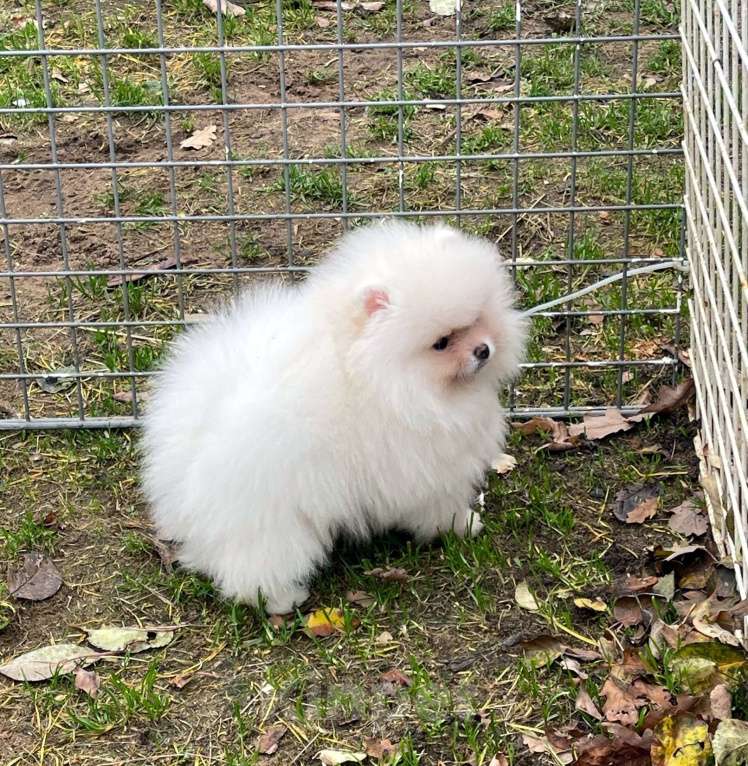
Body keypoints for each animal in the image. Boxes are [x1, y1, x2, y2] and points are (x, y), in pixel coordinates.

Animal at [139, 219, 524, 616]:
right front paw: (460, 524)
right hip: (272, 519)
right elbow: (437, 506)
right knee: (256, 566)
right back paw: (282, 600)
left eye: (477, 318)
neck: (377, 372)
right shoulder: (422, 468)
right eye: (441, 343)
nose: (483, 350)